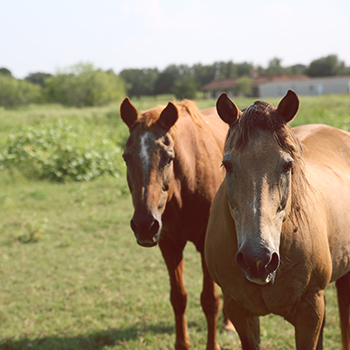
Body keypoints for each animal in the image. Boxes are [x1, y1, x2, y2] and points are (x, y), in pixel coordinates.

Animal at [120, 98, 230, 350]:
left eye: (169, 158)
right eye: (126, 157)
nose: (144, 225)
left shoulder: (204, 245)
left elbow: (209, 300)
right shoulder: (169, 245)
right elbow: (178, 298)